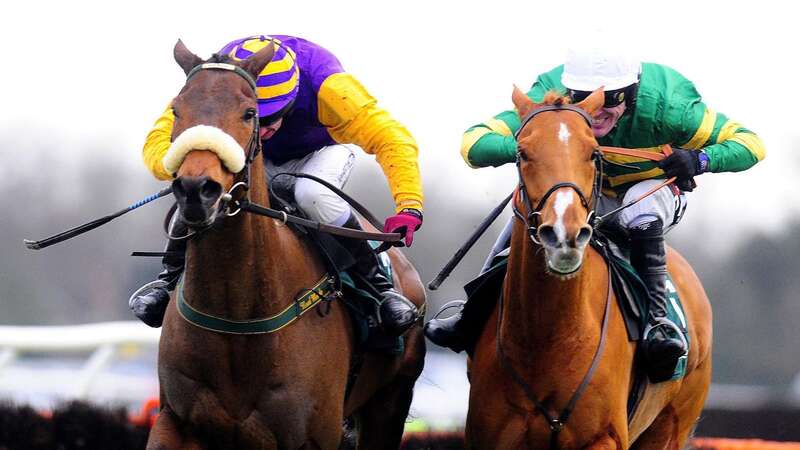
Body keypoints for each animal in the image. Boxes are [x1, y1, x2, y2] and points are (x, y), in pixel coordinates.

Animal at [148, 40, 428, 448]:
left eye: (249, 113)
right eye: (176, 110)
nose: (196, 190)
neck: (237, 315)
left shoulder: (314, 434)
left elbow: (385, 133)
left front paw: (408, 218)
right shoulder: (175, 422)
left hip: (389, 401)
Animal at [466, 89, 716, 450]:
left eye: (593, 154)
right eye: (522, 152)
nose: (564, 234)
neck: (545, 340)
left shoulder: (603, 437)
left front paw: (684, 161)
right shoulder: (489, 435)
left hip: (670, 425)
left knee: (644, 214)